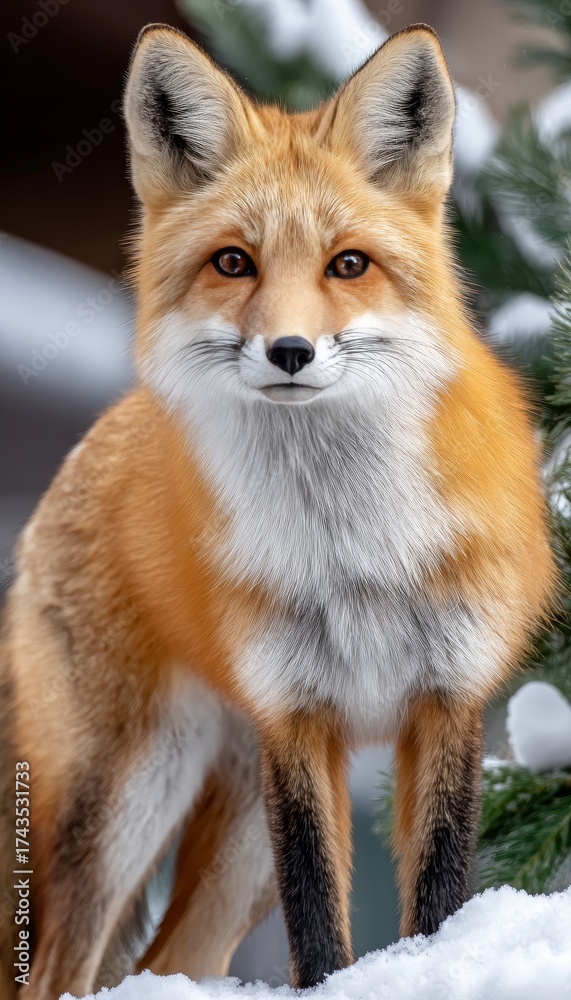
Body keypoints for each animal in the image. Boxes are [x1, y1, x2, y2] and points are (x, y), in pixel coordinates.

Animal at [0, 20, 555, 1000]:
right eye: (234, 262)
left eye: (348, 265)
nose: (289, 350)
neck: (350, 547)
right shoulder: (293, 718)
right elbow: (317, 922)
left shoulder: (447, 697)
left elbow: (437, 896)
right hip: (121, 805)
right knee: (60, 974)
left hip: (227, 846)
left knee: (168, 959)